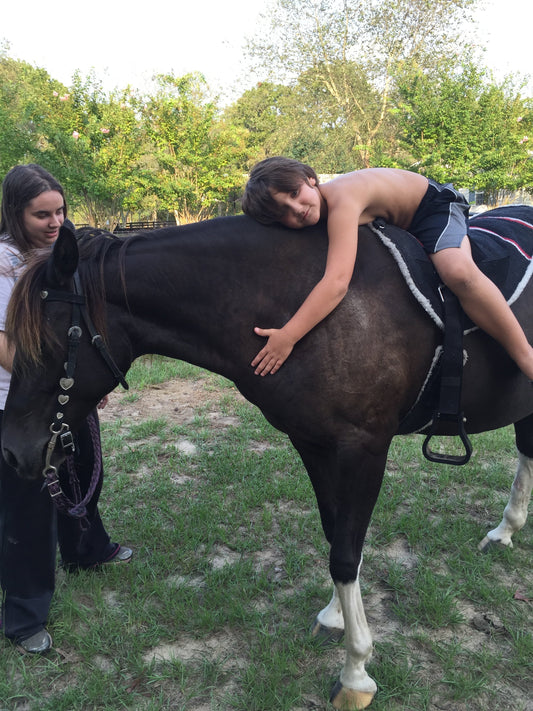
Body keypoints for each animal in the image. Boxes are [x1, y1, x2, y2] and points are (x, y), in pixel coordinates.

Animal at [2, 209, 532, 711]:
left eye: (45, 342)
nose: (11, 451)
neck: (307, 304)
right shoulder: (313, 443)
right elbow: (337, 537)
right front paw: (334, 618)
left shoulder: (363, 447)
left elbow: (346, 553)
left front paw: (356, 672)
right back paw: (505, 531)